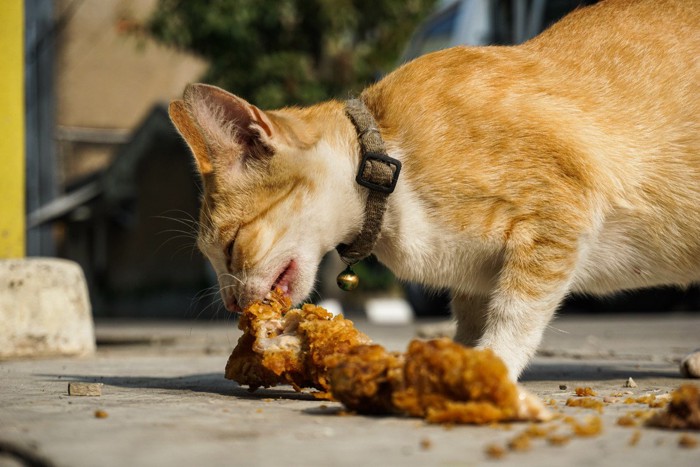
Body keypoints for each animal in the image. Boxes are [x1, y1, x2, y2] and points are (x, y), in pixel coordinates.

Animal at [171, 0, 700, 380]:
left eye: (231, 246)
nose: (231, 304)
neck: (389, 165)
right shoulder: (475, 276)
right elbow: (470, 315)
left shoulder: (560, 213)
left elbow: (516, 310)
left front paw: (492, 361)